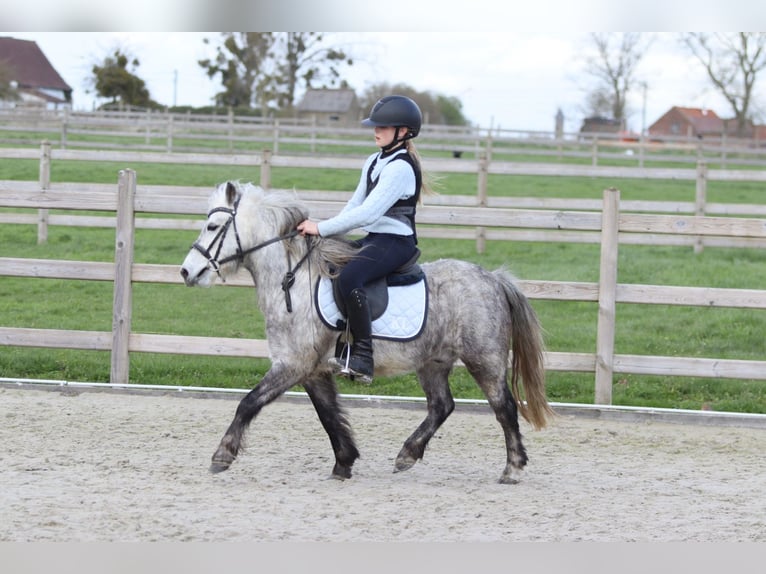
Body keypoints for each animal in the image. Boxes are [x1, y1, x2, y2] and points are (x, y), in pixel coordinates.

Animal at [180, 180, 555, 484]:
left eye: (212, 225)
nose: (186, 271)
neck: (293, 280)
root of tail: (493, 278)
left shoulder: (292, 364)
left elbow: (248, 403)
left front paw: (222, 455)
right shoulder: (313, 370)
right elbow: (329, 415)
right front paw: (343, 463)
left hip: (484, 360)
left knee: (503, 407)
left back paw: (512, 468)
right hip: (433, 363)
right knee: (441, 406)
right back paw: (407, 455)